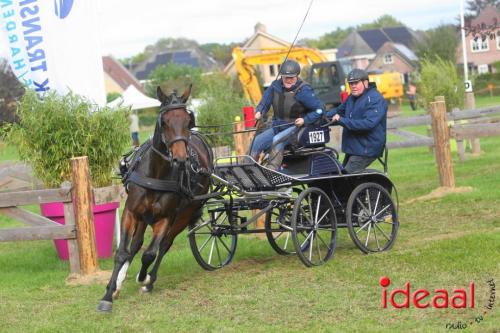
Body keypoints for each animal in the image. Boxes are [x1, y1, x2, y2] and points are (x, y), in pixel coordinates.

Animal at [97, 85, 213, 312]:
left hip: (184, 215)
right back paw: (119, 283)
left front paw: (143, 278)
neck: (156, 174)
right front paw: (108, 294)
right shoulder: (131, 212)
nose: (181, 159)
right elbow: (123, 252)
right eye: (165, 121)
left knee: (164, 245)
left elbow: (150, 253)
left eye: (188, 120)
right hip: (144, 217)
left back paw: (149, 280)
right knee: (136, 244)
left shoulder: (166, 218)